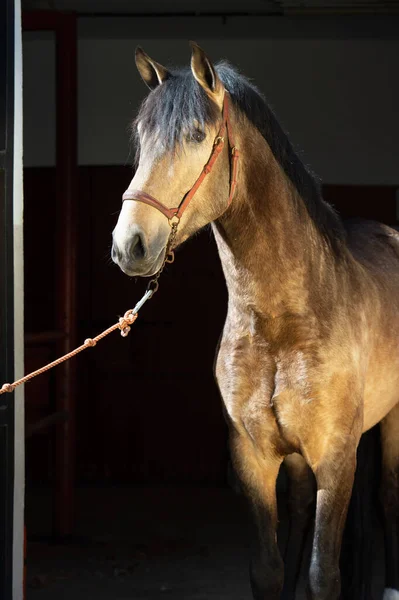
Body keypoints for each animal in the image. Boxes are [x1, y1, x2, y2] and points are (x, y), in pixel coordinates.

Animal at [111, 43, 399, 600]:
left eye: (196, 135)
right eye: (141, 138)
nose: (128, 244)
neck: (281, 322)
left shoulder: (336, 458)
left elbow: (323, 576)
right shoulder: (255, 459)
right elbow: (268, 569)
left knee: (389, 496)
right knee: (301, 510)